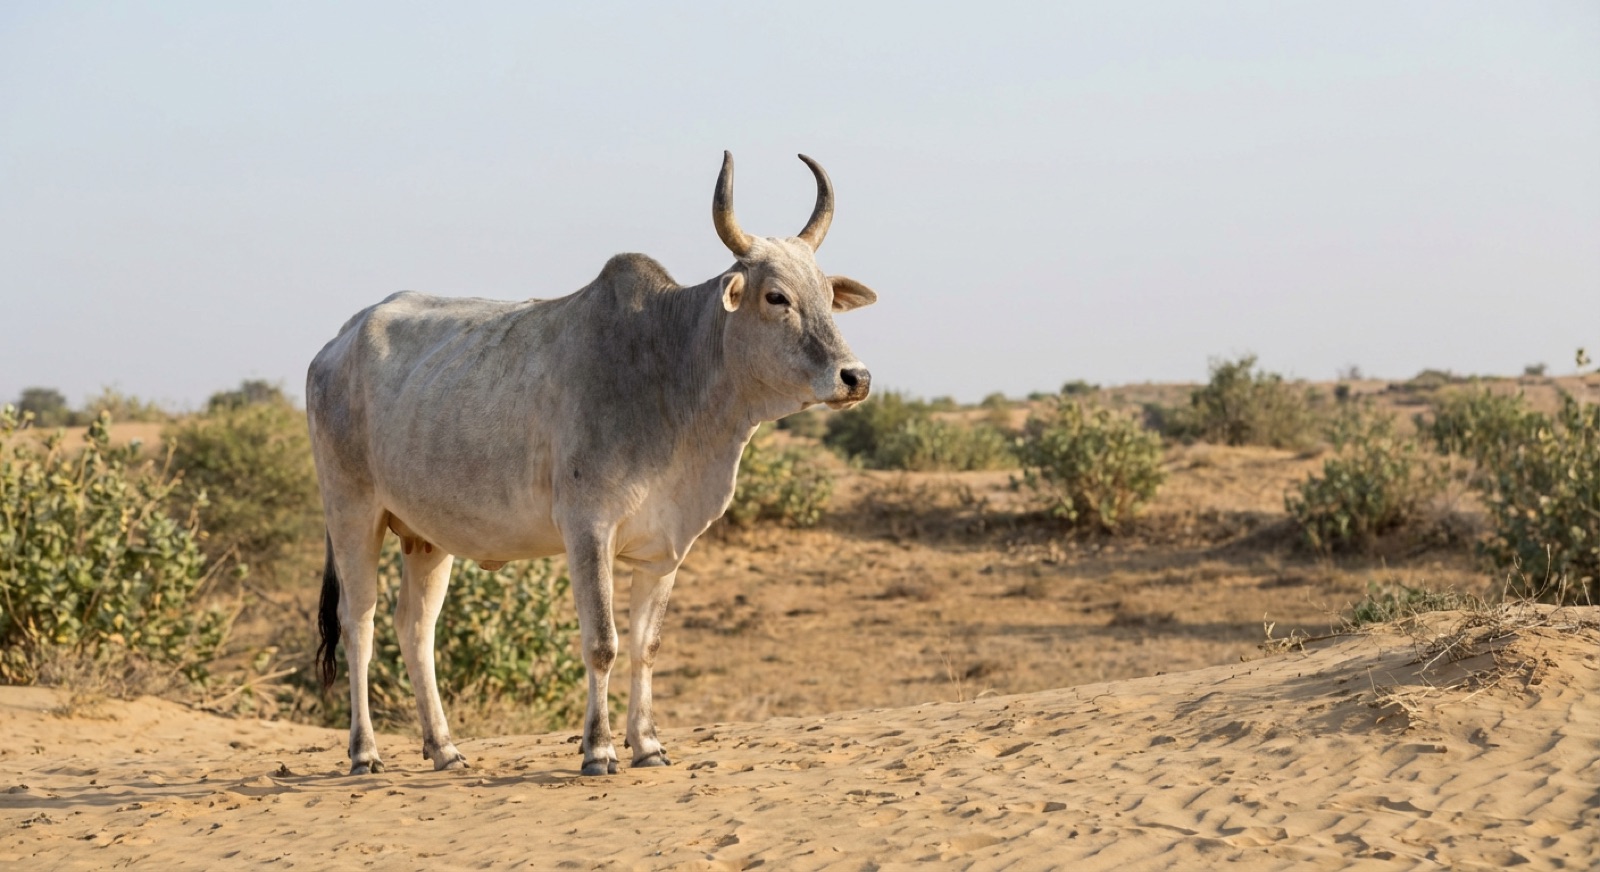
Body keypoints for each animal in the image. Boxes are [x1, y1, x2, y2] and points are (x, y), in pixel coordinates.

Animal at [307, 152, 877, 776]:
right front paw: (599, 748)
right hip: (352, 513)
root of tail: (337, 341)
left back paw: (445, 749)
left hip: (426, 537)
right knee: (359, 623)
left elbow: (646, 647)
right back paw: (365, 753)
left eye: (826, 293)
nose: (855, 377)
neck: (671, 367)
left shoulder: (662, 549)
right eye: (776, 297)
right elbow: (602, 643)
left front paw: (647, 744)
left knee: (415, 629)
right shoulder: (589, 530)